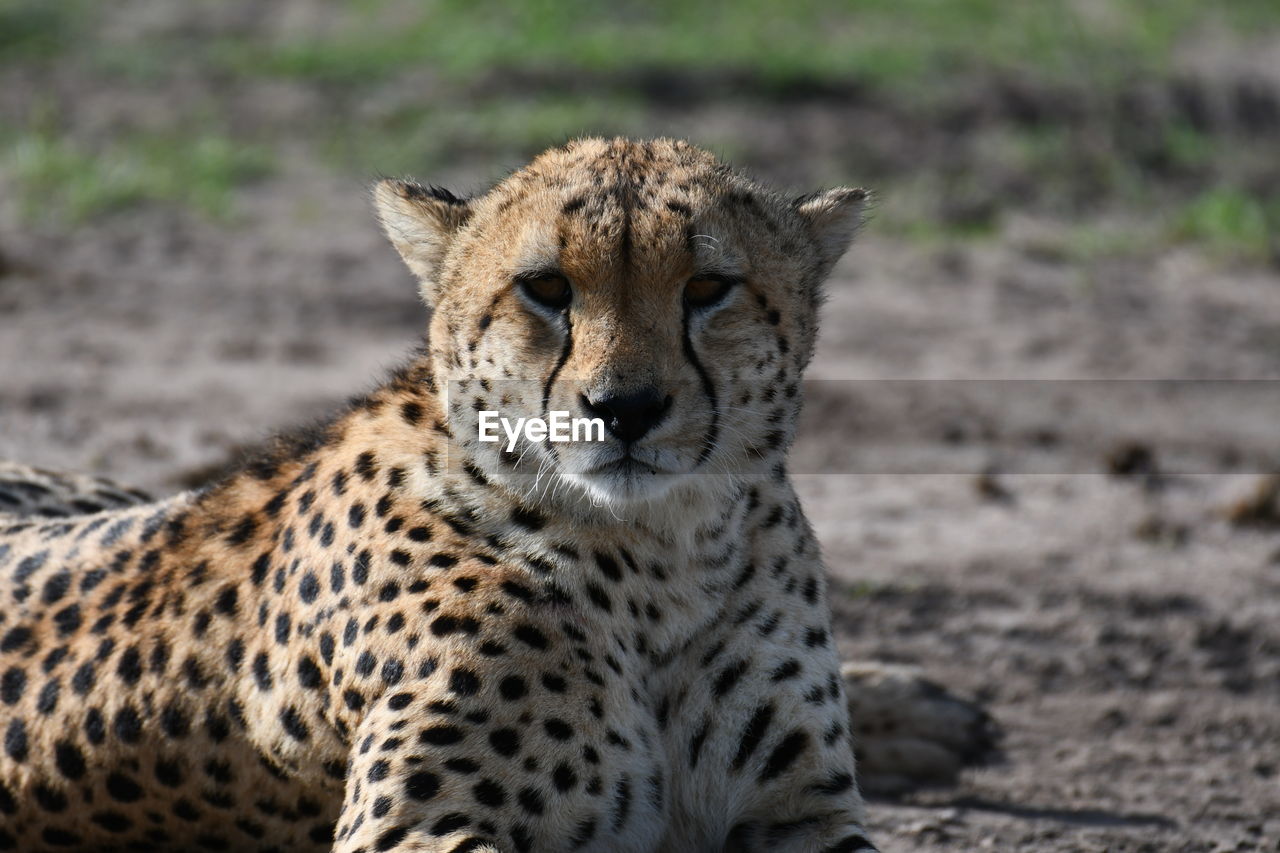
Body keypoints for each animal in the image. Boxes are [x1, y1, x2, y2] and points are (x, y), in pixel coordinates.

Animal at [0, 136, 993, 845]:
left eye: (710, 286)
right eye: (546, 287)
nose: (624, 408)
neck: (662, 554)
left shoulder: (800, 813)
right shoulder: (413, 829)